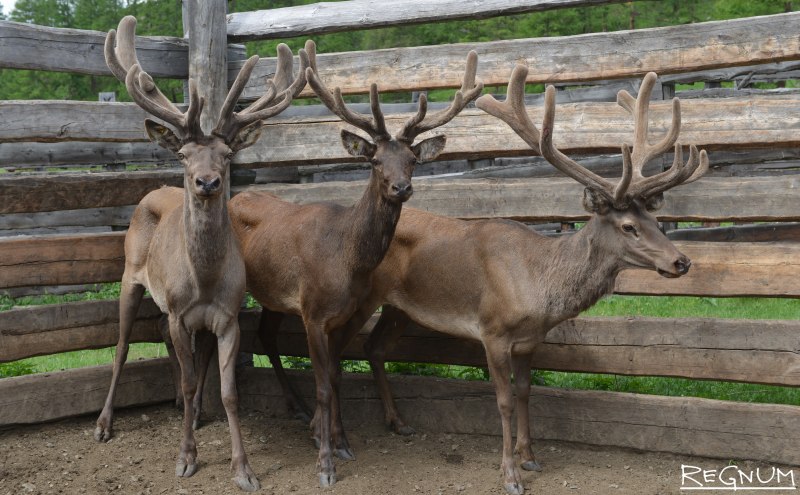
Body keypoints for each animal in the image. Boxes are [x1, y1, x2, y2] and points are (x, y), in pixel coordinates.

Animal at [92, 16, 308, 492]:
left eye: (227, 154)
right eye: (184, 153)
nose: (207, 182)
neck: (204, 281)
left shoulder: (226, 317)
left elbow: (227, 391)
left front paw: (243, 468)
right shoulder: (179, 311)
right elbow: (194, 383)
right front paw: (185, 457)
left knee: (165, 337)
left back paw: (181, 409)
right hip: (129, 274)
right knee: (122, 345)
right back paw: (103, 423)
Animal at [227, 45, 483, 488]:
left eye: (413, 159)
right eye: (375, 160)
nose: (402, 187)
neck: (346, 262)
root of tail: (232, 196)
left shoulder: (348, 312)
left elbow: (335, 375)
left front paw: (341, 442)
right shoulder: (313, 312)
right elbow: (324, 386)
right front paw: (325, 463)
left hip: (277, 298)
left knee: (266, 335)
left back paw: (296, 407)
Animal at [266, 67, 707, 495]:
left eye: (655, 220)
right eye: (629, 226)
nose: (681, 261)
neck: (538, 285)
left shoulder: (531, 340)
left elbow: (527, 391)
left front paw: (530, 456)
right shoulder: (493, 331)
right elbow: (505, 400)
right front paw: (511, 475)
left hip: (399, 307)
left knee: (373, 348)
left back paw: (396, 422)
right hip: (360, 298)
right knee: (337, 356)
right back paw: (328, 437)